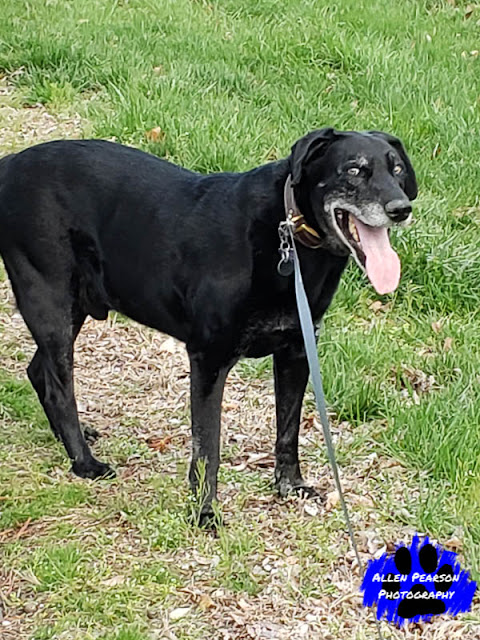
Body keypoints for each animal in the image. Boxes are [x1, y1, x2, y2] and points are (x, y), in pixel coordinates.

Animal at [0, 130, 416, 520]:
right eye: (354, 170)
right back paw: (84, 462)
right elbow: (207, 447)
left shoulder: (296, 353)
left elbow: (288, 430)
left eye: (396, 169)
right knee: (59, 386)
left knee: (39, 371)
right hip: (49, 299)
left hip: (73, 307)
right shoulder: (208, 359)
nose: (401, 209)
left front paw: (290, 485)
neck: (287, 240)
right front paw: (204, 511)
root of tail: (9, 164)